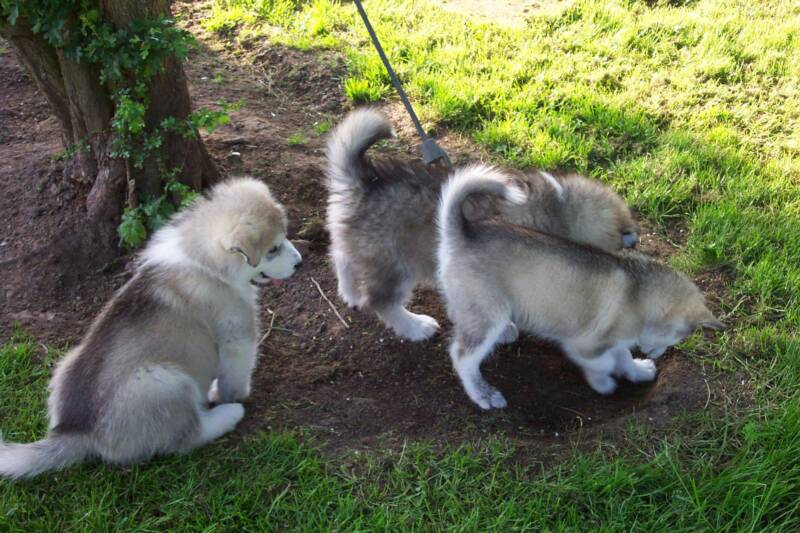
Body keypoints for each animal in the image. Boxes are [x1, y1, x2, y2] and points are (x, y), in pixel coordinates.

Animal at [0, 178, 304, 478]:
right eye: (273, 249)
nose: (300, 263)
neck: (205, 261)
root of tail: (78, 430)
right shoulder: (237, 335)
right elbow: (236, 376)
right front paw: (228, 395)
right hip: (167, 382)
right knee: (187, 438)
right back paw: (228, 415)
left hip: (66, 361)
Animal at [324, 108, 636, 340]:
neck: (557, 207)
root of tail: (363, 183)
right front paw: (507, 329)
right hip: (394, 263)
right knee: (381, 301)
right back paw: (416, 326)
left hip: (359, 245)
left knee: (341, 258)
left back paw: (350, 294)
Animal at [438, 164, 724, 410]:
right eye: (677, 337)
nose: (655, 353)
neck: (640, 293)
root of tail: (464, 232)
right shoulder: (583, 344)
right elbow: (602, 361)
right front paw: (604, 382)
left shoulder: (616, 337)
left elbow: (622, 354)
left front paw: (637, 370)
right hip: (489, 314)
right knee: (461, 356)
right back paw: (483, 394)